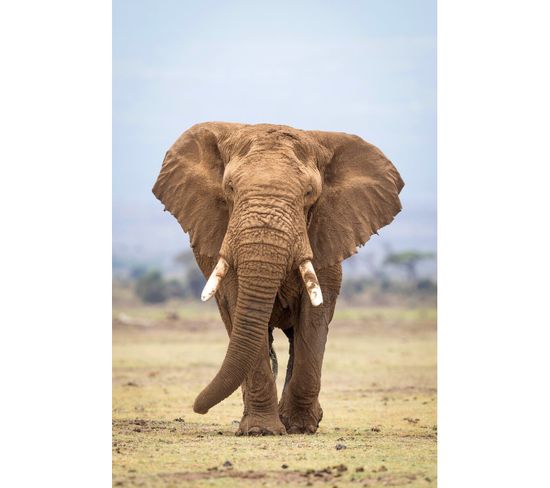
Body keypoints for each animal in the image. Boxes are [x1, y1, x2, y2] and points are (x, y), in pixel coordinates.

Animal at [153, 122, 404, 434]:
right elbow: (242, 312)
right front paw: (261, 430)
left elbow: (314, 318)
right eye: (230, 188)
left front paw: (300, 427)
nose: (198, 407)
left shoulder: (325, 235)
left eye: (309, 192)